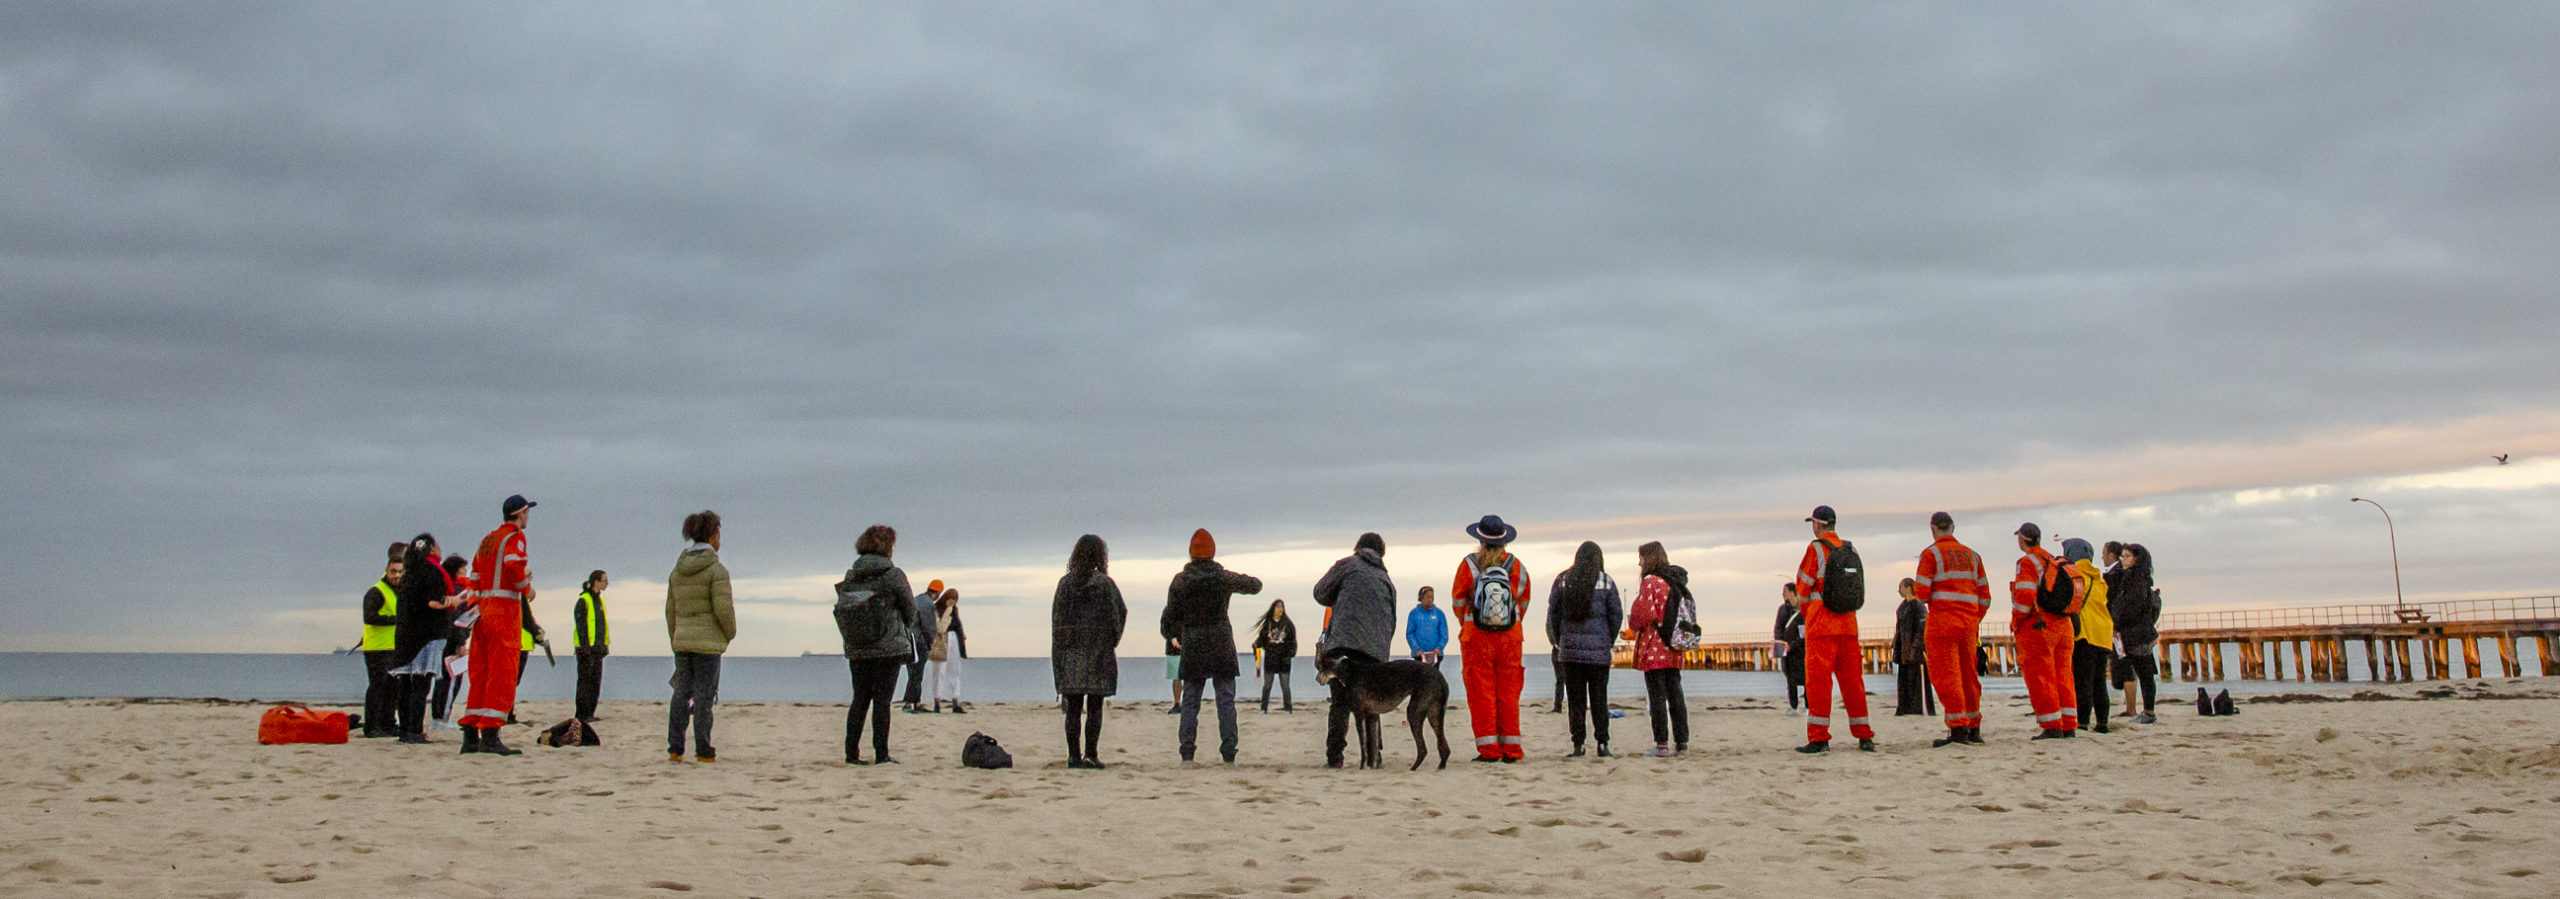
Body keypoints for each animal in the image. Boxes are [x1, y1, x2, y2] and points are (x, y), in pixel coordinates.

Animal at [1310, 650, 1454, 773]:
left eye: (1321, 666)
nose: (1317, 679)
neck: (1349, 671)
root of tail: (1440, 676)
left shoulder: (1359, 714)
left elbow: (1363, 746)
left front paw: (1362, 767)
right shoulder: (1371, 715)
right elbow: (1372, 744)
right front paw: (1371, 766)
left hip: (1415, 712)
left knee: (1423, 749)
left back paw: (1413, 769)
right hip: (1435, 713)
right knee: (1443, 747)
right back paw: (1440, 767)